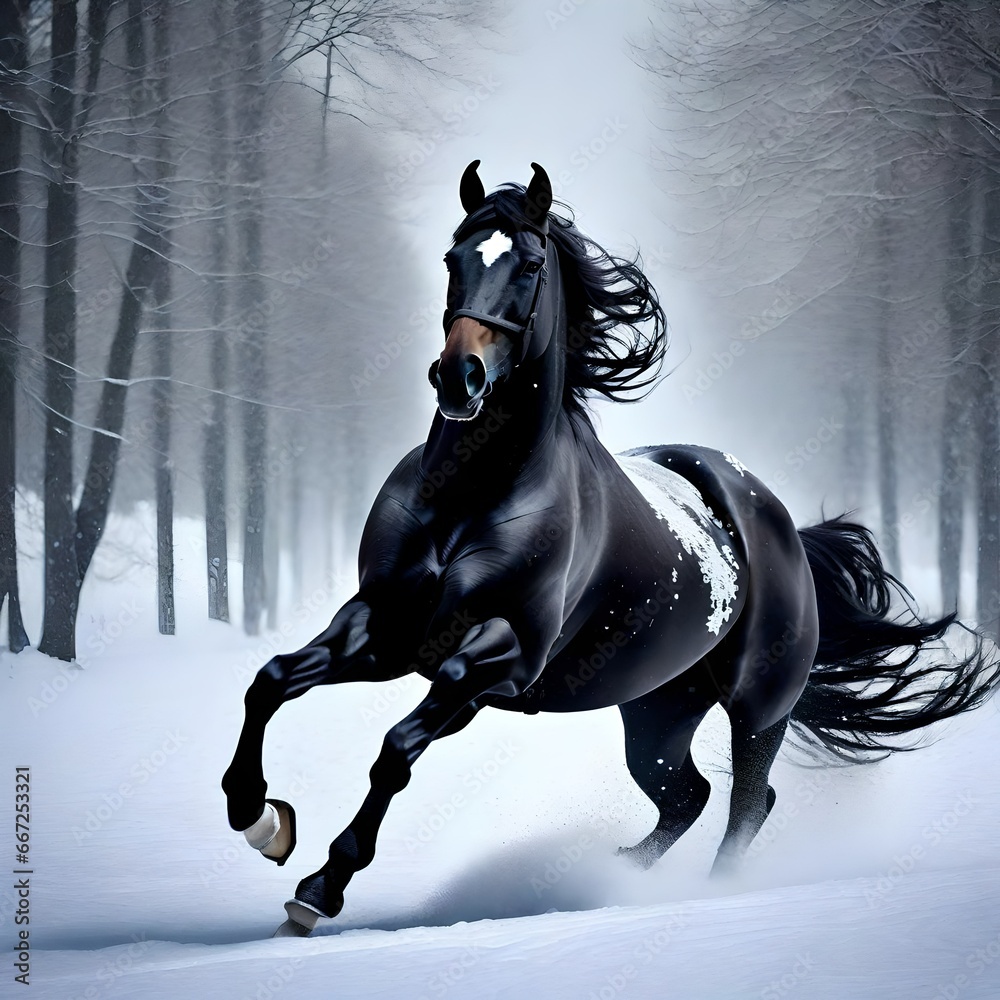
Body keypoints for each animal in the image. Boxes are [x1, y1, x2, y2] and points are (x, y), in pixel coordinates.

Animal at [222, 161, 999, 937]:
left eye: (530, 265)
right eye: (452, 258)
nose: (459, 378)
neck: (470, 495)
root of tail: (777, 524)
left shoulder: (495, 660)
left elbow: (396, 749)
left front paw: (320, 887)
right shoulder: (385, 628)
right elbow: (270, 680)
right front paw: (261, 819)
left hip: (759, 707)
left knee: (747, 803)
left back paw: (695, 895)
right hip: (657, 713)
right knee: (687, 797)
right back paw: (613, 873)